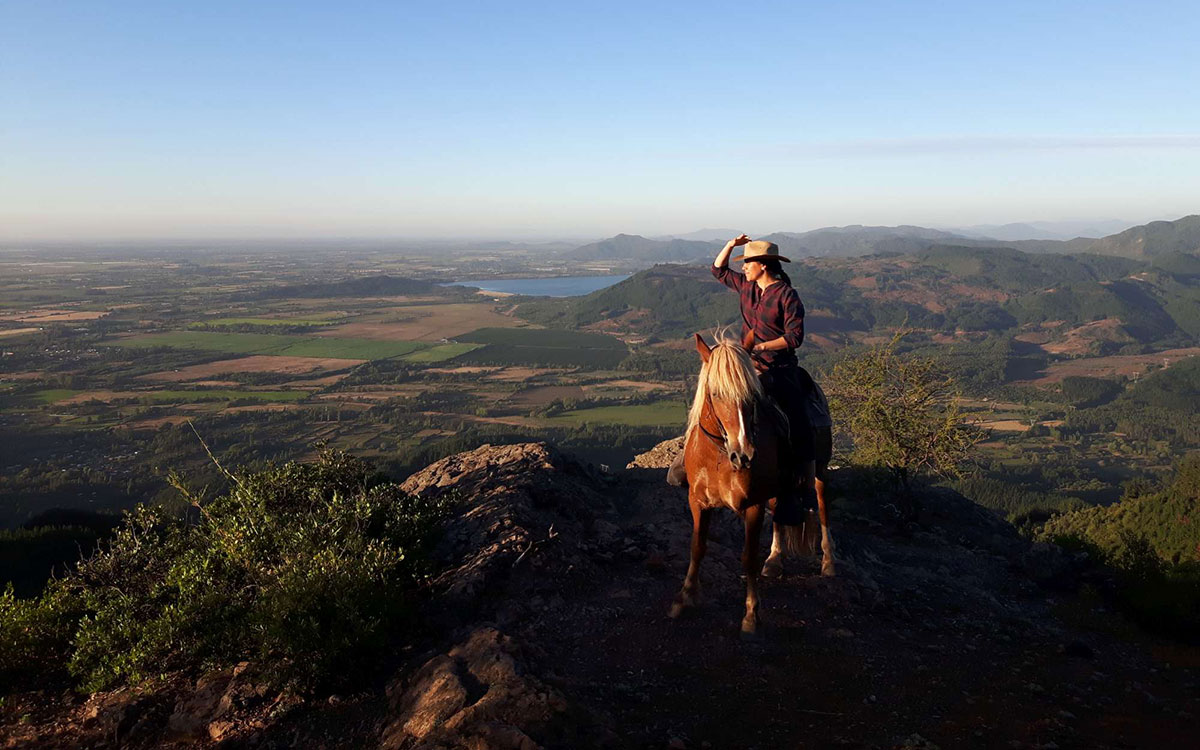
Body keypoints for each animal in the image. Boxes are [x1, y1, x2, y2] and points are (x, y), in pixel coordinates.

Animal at [667, 331, 835, 633]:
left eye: (752, 396)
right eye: (715, 393)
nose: (744, 453)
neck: (719, 456)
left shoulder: (753, 505)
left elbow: (748, 557)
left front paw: (750, 615)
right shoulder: (698, 502)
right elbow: (697, 547)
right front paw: (684, 597)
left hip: (820, 469)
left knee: (822, 506)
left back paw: (828, 562)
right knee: (780, 513)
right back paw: (775, 560)